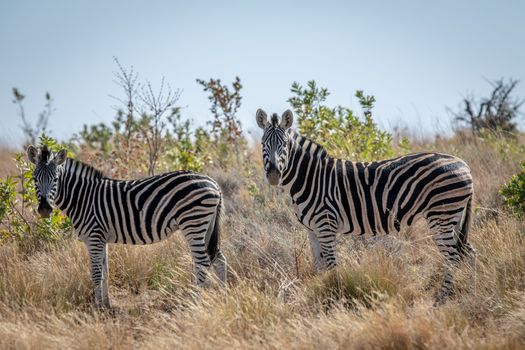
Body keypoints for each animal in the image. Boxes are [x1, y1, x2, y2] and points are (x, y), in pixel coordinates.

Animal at [27, 146, 225, 308]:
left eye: (55, 179)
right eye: (35, 179)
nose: (44, 209)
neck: (83, 198)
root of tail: (213, 183)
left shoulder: (94, 237)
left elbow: (96, 273)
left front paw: (97, 308)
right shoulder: (101, 239)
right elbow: (105, 272)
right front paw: (107, 305)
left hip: (193, 222)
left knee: (202, 262)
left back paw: (195, 300)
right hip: (205, 225)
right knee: (219, 258)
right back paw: (224, 293)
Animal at [256, 108, 472, 302]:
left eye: (284, 145)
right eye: (263, 144)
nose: (274, 174)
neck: (311, 179)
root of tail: (464, 164)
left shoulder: (326, 225)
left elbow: (331, 265)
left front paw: (336, 297)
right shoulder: (311, 230)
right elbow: (318, 266)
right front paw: (321, 293)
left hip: (441, 216)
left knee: (453, 256)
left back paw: (442, 298)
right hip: (452, 218)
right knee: (468, 251)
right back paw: (474, 291)